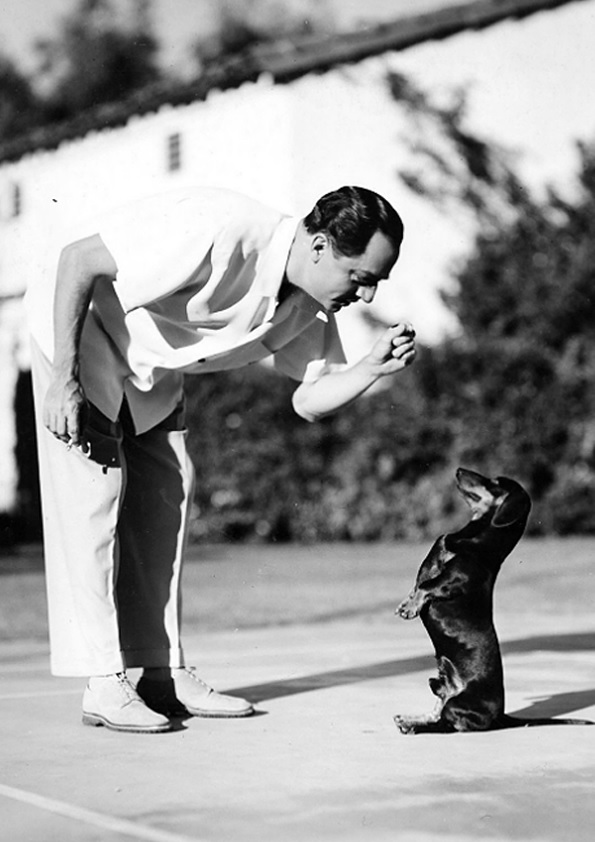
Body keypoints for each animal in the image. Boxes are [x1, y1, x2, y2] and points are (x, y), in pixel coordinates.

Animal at [394, 470, 592, 732]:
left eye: (496, 482)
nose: (458, 470)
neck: (475, 542)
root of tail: (500, 716)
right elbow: (418, 584)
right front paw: (407, 602)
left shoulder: (453, 581)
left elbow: (426, 585)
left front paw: (410, 608)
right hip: (441, 687)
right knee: (436, 711)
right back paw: (410, 719)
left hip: (457, 704)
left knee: (445, 724)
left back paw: (414, 727)